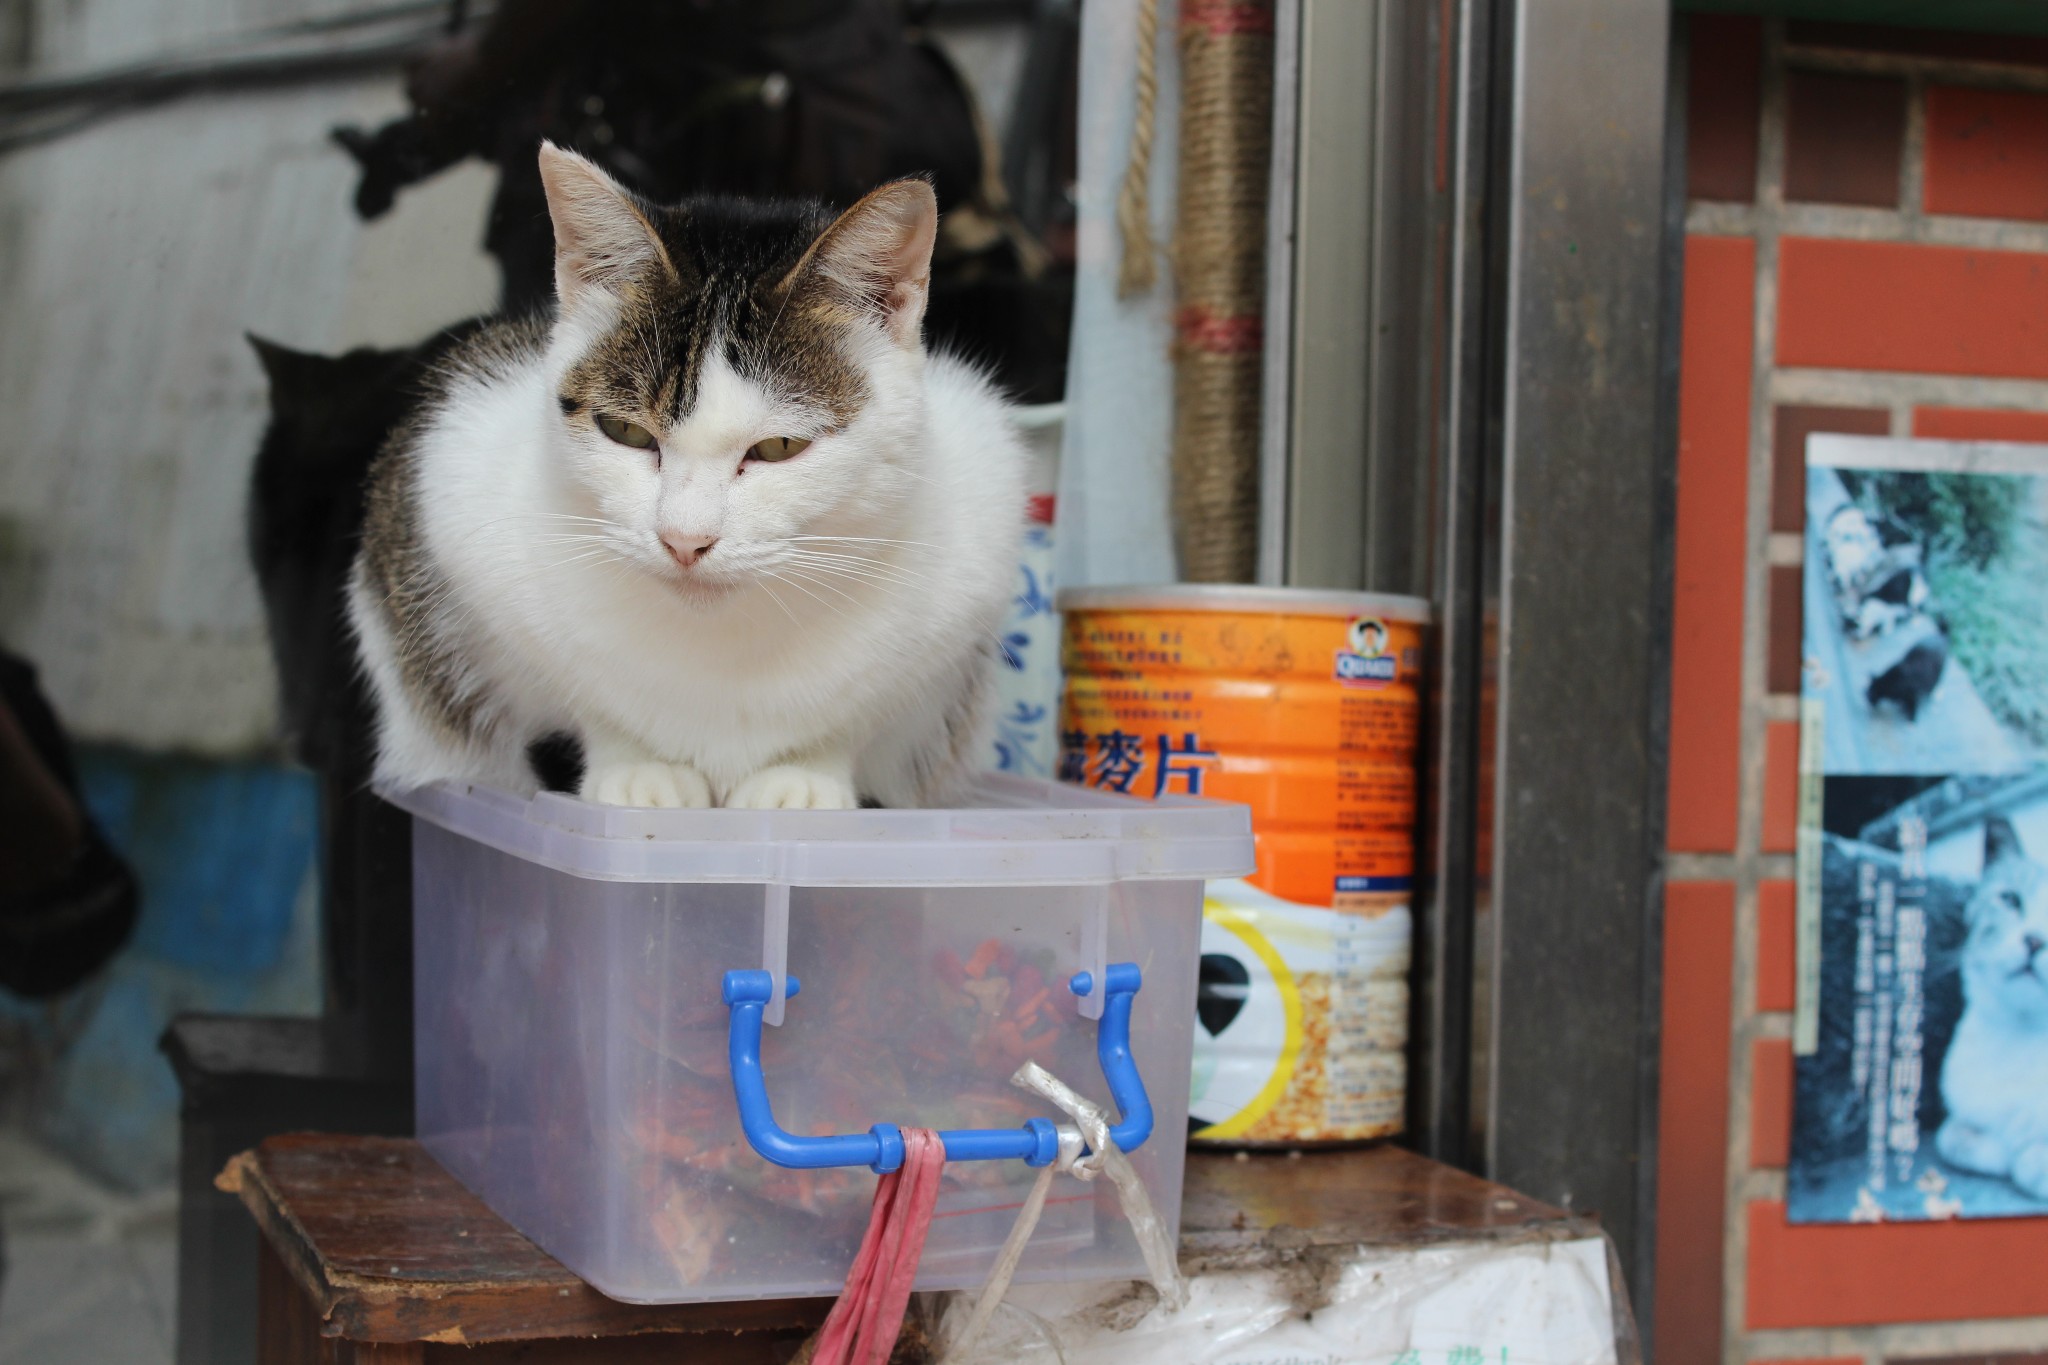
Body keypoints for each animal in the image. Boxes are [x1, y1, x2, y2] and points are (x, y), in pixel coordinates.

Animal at [350, 147, 1032, 810]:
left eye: (779, 447)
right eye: (625, 433)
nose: (684, 541)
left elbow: (857, 717)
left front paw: (801, 777)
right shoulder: (451, 468)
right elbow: (583, 697)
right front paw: (638, 770)